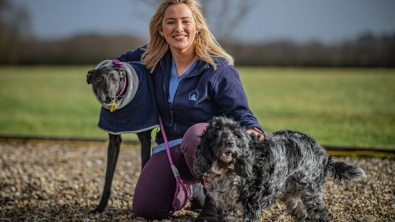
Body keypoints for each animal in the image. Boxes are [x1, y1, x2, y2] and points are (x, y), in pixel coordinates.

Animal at [87, 60, 158, 213]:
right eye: (99, 80)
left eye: (116, 80)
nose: (109, 97)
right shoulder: (114, 140)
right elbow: (108, 175)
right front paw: (100, 206)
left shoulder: (145, 139)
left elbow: (143, 167)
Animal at [193, 116, 366, 222]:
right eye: (217, 132)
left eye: (235, 134)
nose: (229, 143)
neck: (227, 170)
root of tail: (320, 150)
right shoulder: (225, 205)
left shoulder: (251, 204)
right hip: (292, 197)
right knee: (303, 215)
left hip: (311, 191)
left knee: (320, 212)